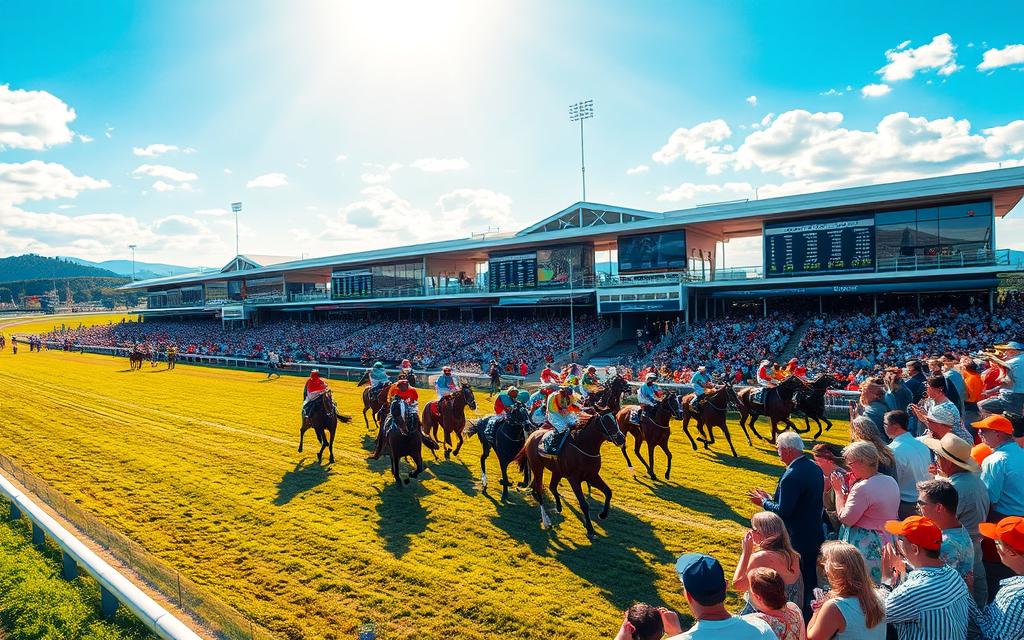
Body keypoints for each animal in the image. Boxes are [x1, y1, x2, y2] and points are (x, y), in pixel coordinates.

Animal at [516, 411, 626, 540]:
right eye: (606, 422)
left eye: (615, 420)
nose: (621, 438)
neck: (583, 446)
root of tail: (532, 435)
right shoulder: (574, 479)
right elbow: (584, 504)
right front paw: (590, 529)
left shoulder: (592, 476)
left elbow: (608, 492)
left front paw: (603, 514)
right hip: (537, 467)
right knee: (538, 490)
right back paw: (546, 520)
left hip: (557, 471)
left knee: (552, 487)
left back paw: (558, 507)